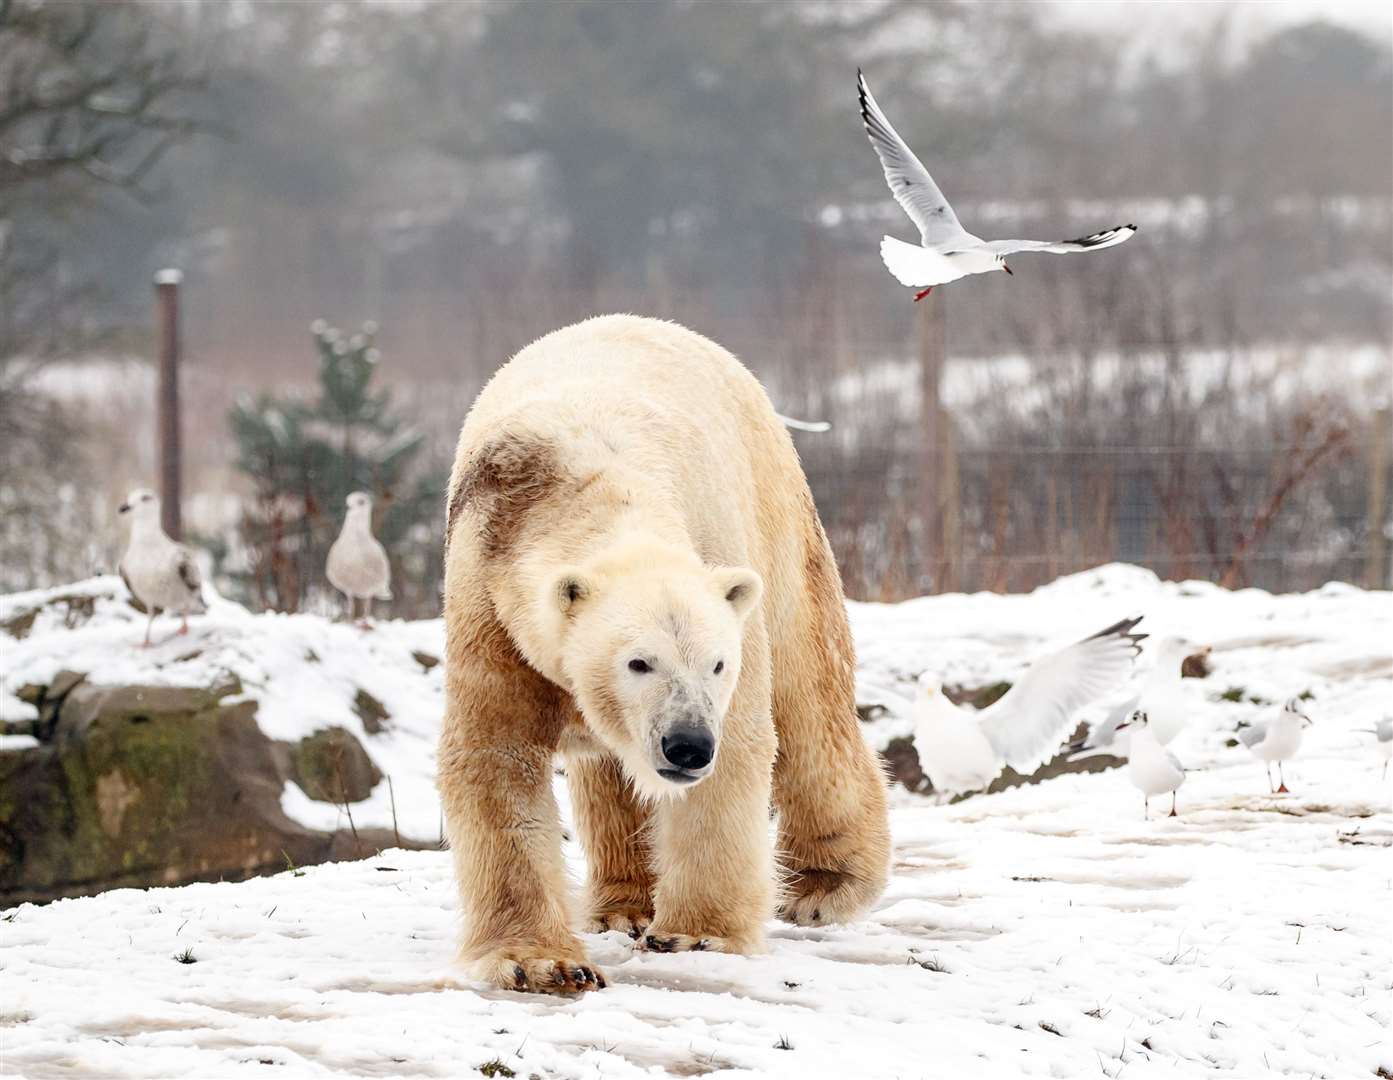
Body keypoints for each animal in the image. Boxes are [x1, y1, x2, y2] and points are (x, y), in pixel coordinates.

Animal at [440, 314, 885, 997]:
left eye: (718, 664)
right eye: (638, 662)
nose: (687, 746)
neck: (574, 484)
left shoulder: (718, 554)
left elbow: (743, 746)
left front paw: (696, 934)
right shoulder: (489, 602)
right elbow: (495, 757)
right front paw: (540, 962)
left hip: (776, 503)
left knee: (809, 691)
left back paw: (825, 886)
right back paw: (622, 904)